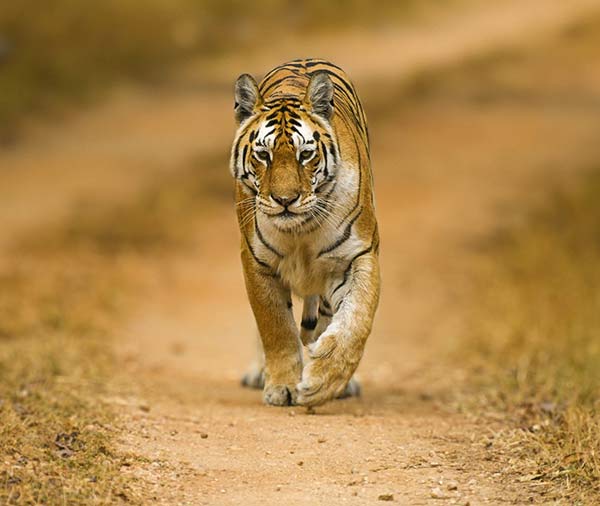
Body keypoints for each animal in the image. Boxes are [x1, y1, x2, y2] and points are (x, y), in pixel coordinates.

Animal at [230, 58, 380, 408]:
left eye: (305, 154)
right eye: (263, 155)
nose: (285, 200)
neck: (301, 230)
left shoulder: (358, 255)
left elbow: (356, 319)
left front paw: (323, 381)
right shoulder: (256, 263)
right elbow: (276, 328)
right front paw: (283, 386)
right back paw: (260, 373)